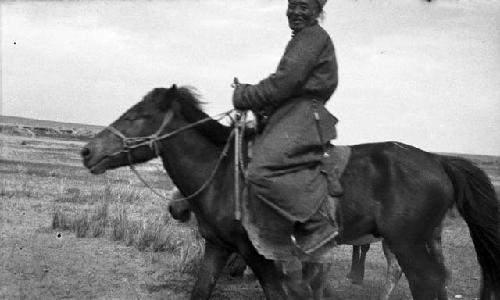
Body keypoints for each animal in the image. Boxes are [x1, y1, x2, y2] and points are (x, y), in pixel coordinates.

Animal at [81, 85, 500, 298]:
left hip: (407, 244)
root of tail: (437, 160)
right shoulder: (218, 247)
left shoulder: (262, 256)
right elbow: (201, 289)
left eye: (137, 116)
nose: (88, 152)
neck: (223, 176)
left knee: (426, 285)